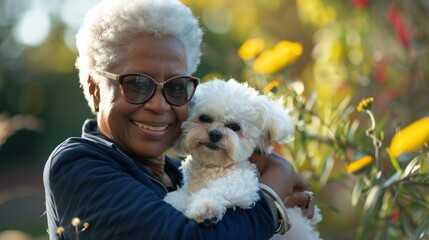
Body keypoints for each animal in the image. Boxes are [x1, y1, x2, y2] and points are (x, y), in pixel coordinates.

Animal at [165, 78, 320, 238]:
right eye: (204, 118)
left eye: (235, 127)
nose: (215, 134)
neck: (212, 167)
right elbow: (183, 195)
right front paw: (176, 200)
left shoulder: (242, 182)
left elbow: (216, 190)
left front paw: (205, 208)